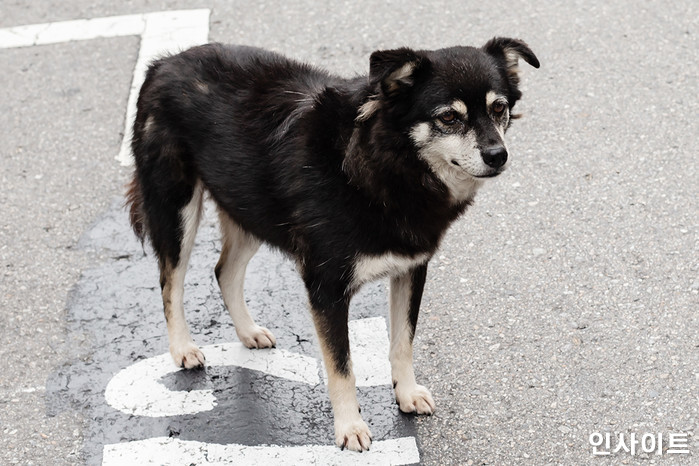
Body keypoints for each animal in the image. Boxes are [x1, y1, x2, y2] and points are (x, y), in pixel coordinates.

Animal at [126, 38, 540, 450]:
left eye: (499, 108)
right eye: (449, 117)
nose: (498, 155)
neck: (385, 164)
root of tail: (163, 62)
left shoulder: (411, 270)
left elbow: (402, 342)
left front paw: (405, 393)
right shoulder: (326, 287)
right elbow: (342, 367)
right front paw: (350, 427)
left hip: (250, 208)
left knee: (223, 272)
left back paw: (247, 332)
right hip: (177, 209)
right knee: (171, 284)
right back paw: (182, 348)